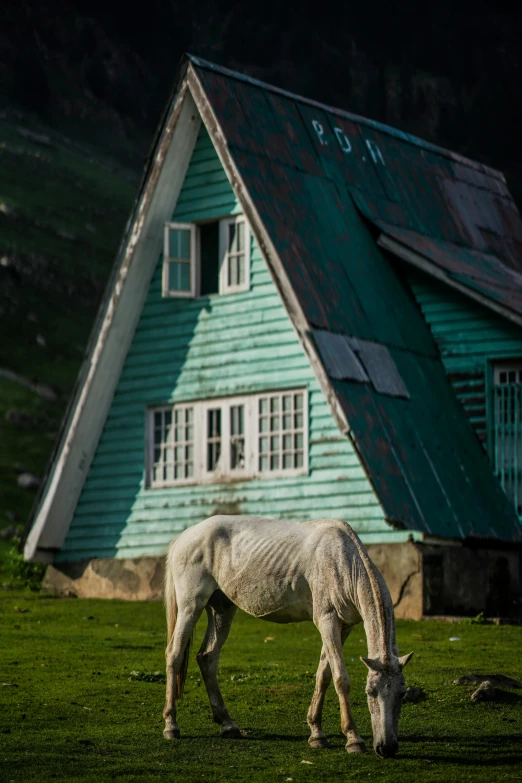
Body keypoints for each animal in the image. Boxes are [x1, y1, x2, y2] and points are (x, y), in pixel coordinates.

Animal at [161, 516, 410, 760]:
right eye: (370, 692)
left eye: (402, 694)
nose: (387, 748)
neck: (343, 560)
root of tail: (184, 536)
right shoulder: (327, 620)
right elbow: (341, 679)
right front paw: (353, 739)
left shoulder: (344, 626)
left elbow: (324, 675)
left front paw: (317, 734)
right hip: (190, 606)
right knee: (174, 654)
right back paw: (171, 726)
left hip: (222, 609)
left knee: (207, 657)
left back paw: (228, 725)